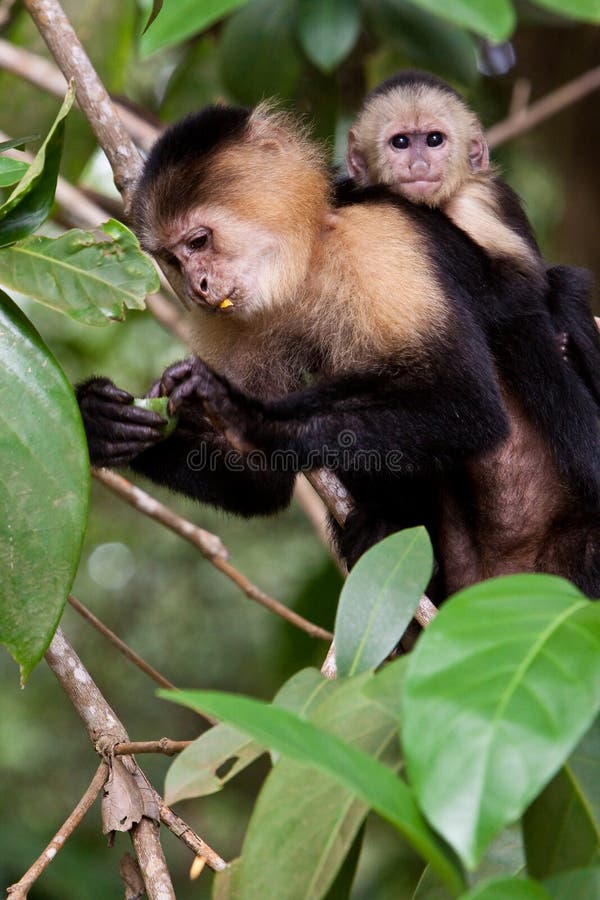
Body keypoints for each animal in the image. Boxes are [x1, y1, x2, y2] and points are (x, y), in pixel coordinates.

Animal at [344, 70, 600, 404]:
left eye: (434, 140)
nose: (419, 165)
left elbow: (521, 284)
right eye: (400, 142)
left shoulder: (472, 202)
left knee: (564, 283)